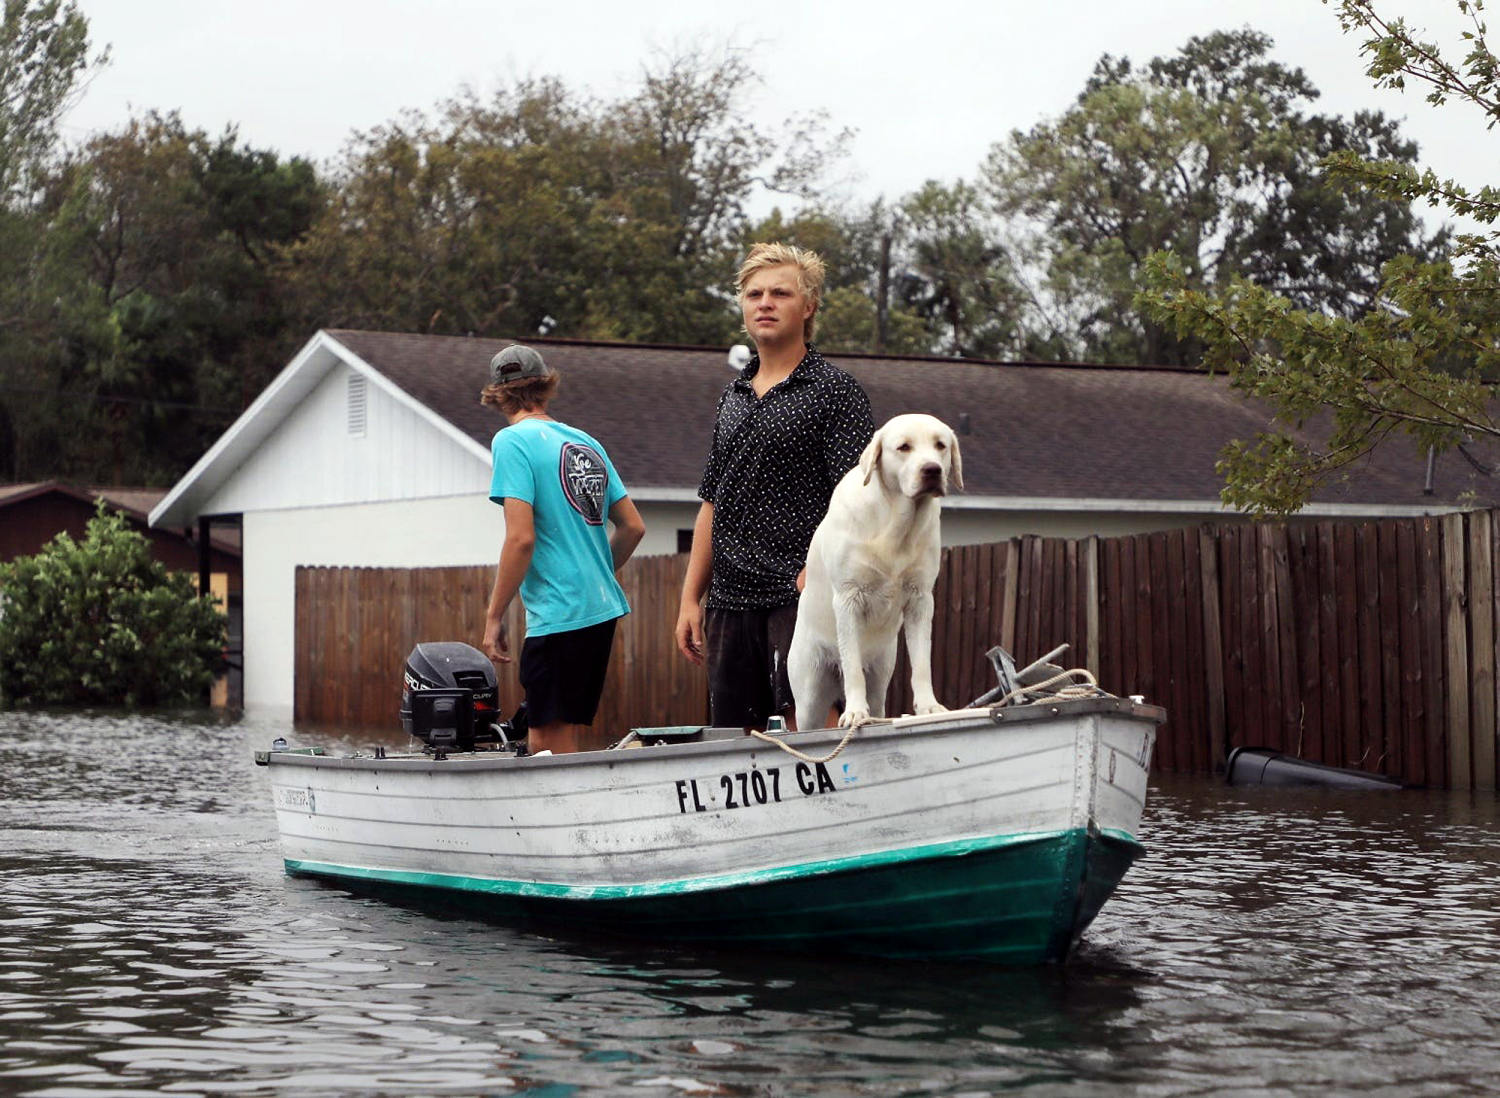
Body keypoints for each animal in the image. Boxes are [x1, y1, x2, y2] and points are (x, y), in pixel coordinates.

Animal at [786, 411, 960, 729]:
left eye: (940, 445)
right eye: (904, 447)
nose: (932, 469)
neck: (897, 525)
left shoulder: (920, 599)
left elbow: (922, 663)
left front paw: (929, 707)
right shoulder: (848, 598)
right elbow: (853, 667)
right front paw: (855, 712)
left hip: (881, 673)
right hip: (809, 693)